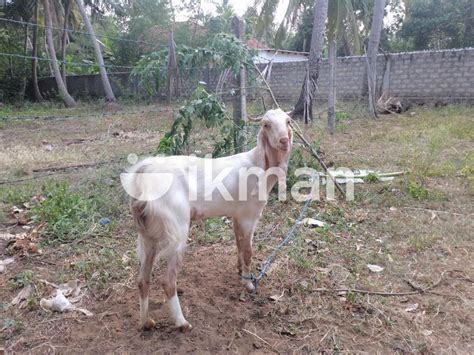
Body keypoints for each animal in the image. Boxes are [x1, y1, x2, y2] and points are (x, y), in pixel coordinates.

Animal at [123, 109, 292, 334]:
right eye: (266, 125)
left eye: (288, 122)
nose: (283, 141)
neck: (259, 166)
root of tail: (143, 172)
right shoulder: (249, 216)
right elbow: (248, 251)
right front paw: (249, 285)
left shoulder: (236, 216)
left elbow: (239, 245)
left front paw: (241, 273)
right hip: (177, 228)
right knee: (168, 281)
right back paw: (182, 323)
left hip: (148, 232)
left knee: (143, 279)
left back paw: (146, 322)